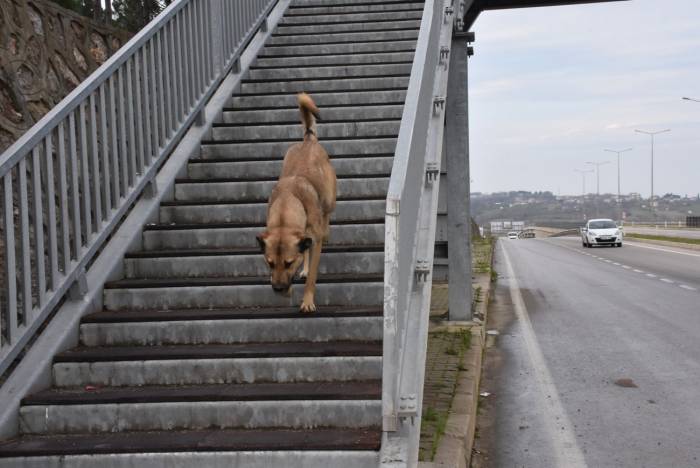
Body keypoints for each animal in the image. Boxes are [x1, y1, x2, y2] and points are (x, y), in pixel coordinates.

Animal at [258, 93, 336, 312]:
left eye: (288, 262)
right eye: (270, 263)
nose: (278, 289)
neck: (287, 205)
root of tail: (308, 139)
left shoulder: (314, 242)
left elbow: (312, 277)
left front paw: (307, 301)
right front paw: (290, 289)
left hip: (329, 199)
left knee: (327, 215)